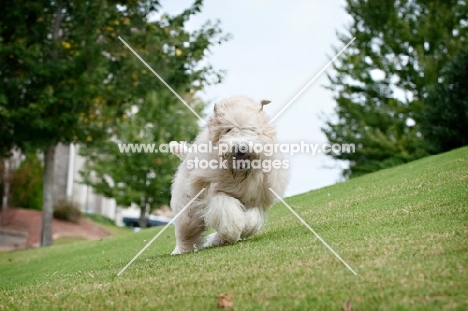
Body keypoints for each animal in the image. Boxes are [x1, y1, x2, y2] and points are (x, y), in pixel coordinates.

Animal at [168, 97, 288, 256]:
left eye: (252, 129)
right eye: (228, 129)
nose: (241, 148)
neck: (239, 174)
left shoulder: (257, 196)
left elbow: (253, 219)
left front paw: (245, 227)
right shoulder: (215, 192)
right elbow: (227, 211)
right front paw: (233, 230)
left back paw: (217, 240)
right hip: (188, 212)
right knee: (186, 232)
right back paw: (182, 250)